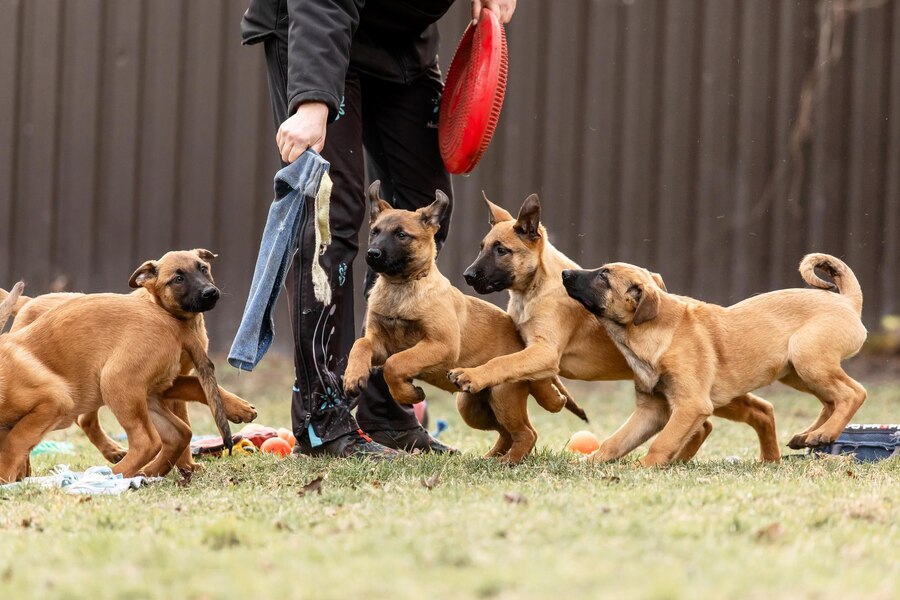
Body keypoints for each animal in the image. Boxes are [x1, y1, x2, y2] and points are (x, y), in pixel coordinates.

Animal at [3, 251, 256, 472]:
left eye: (204, 268)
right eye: (178, 278)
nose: (210, 292)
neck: (181, 321)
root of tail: (27, 302)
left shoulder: (173, 381)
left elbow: (195, 396)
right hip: (112, 381)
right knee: (92, 422)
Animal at [342, 180, 588, 462]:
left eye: (401, 235)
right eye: (374, 232)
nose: (372, 254)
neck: (402, 287)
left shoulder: (441, 345)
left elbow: (395, 364)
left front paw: (408, 393)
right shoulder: (381, 343)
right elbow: (361, 345)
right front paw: (353, 376)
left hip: (502, 397)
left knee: (527, 433)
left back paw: (508, 462)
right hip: (472, 408)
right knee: (507, 433)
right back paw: (490, 458)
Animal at [450, 195, 780, 462]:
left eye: (501, 250)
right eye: (482, 248)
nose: (467, 275)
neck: (535, 289)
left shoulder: (544, 352)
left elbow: (503, 363)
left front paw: (473, 376)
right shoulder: (534, 351)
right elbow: (522, 370)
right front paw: (553, 399)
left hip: (710, 392)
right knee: (739, 415)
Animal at [564, 253, 864, 468]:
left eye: (603, 276)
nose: (564, 273)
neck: (654, 333)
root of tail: (848, 302)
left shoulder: (690, 405)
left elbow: (663, 442)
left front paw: (644, 468)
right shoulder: (651, 409)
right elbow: (616, 441)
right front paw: (590, 462)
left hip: (808, 359)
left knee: (854, 393)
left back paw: (823, 433)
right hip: (796, 373)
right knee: (830, 401)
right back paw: (809, 435)